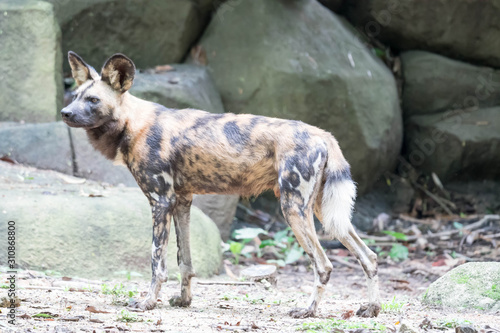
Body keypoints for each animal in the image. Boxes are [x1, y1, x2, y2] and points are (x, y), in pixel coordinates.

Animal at [62, 51, 380, 316]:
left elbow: (157, 261)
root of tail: (323, 134)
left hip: (293, 209)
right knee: (369, 256)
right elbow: (185, 260)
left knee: (324, 265)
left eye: (93, 100)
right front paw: (184, 300)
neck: (133, 123)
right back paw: (371, 308)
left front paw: (148, 302)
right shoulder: (181, 202)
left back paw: (308, 311)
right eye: (75, 96)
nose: (65, 113)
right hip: (323, 212)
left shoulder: (160, 202)